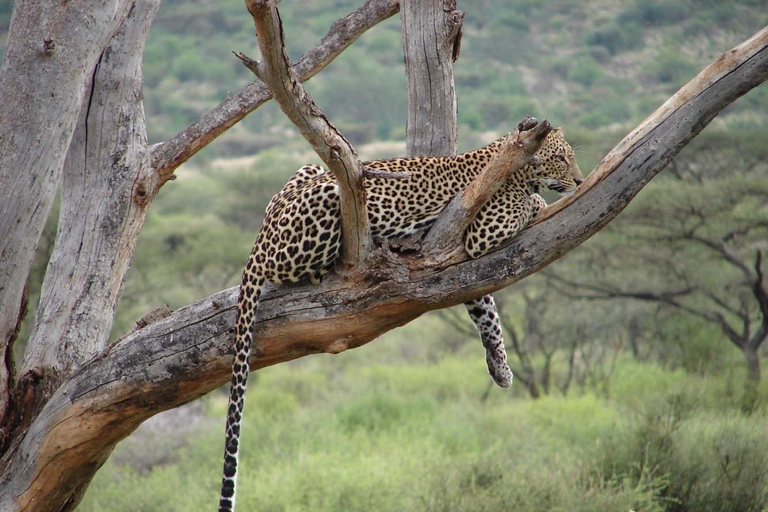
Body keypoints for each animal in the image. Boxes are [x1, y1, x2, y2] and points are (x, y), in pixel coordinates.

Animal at [216, 126, 584, 510]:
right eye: (562, 158)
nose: (579, 180)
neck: (511, 161)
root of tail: (258, 241)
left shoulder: (460, 260)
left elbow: (486, 312)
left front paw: (500, 368)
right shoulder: (481, 231)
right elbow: (528, 206)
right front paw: (539, 202)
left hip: (307, 169)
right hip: (323, 201)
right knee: (285, 269)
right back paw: (323, 270)